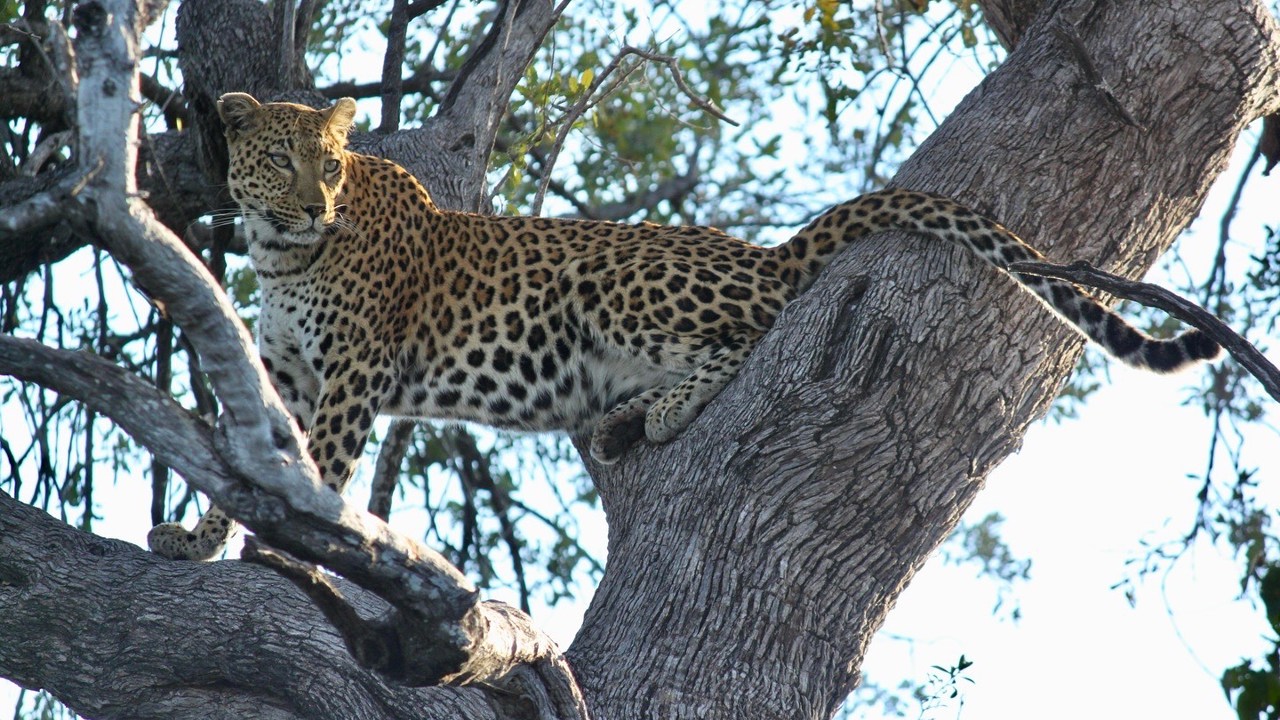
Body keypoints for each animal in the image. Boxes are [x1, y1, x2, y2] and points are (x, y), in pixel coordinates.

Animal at [147, 92, 1221, 560]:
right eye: (280, 159)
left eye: (328, 165)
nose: (309, 205)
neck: (285, 256)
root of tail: (763, 251)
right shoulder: (288, 378)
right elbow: (257, 460)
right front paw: (199, 538)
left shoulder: (356, 371)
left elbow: (318, 464)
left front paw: (287, 550)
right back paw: (626, 421)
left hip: (612, 281)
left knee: (751, 336)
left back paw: (653, 416)